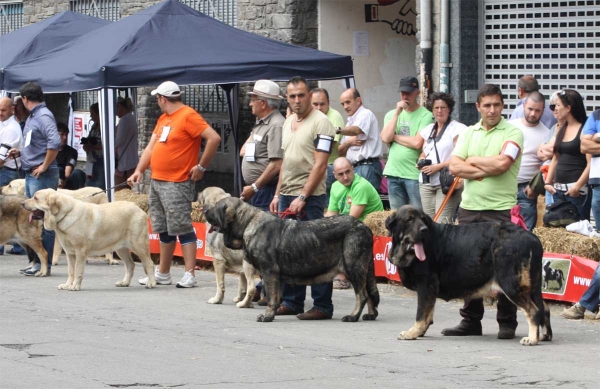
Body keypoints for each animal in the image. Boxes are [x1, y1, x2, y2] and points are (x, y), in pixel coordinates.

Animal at [22, 188, 156, 292]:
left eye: (35, 198)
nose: (22, 203)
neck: (65, 214)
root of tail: (138, 207)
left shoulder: (80, 252)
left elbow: (78, 270)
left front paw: (75, 286)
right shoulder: (70, 253)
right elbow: (71, 271)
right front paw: (67, 285)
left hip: (139, 245)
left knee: (149, 264)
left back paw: (151, 283)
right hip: (121, 249)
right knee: (130, 265)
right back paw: (125, 282)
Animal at [204, 197, 378, 322]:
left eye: (216, 206)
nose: (204, 210)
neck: (247, 223)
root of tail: (366, 227)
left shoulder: (269, 272)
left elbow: (271, 298)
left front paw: (267, 316)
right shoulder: (275, 276)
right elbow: (276, 297)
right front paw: (273, 313)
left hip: (353, 267)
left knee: (362, 295)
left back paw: (353, 316)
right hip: (363, 269)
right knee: (370, 293)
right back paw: (371, 315)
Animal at [386, 205, 552, 348]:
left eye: (423, 219)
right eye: (409, 219)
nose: (424, 230)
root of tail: (533, 238)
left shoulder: (425, 286)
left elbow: (421, 314)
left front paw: (412, 333)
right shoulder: (430, 290)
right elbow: (428, 314)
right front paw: (421, 332)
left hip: (511, 285)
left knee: (534, 310)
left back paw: (532, 338)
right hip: (531, 286)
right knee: (544, 308)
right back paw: (544, 336)